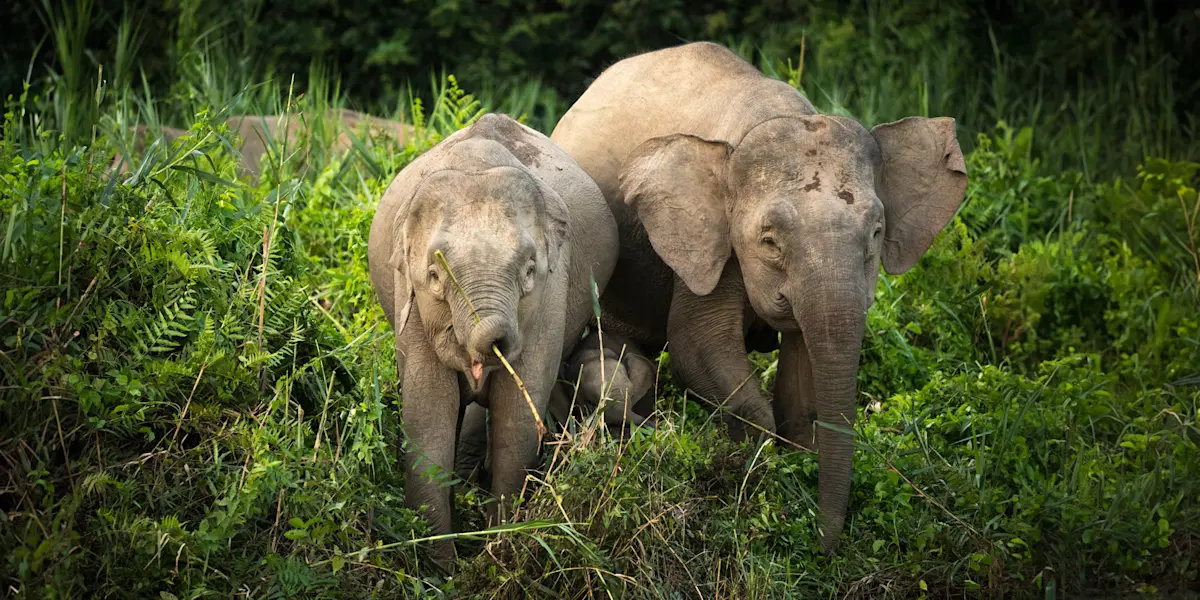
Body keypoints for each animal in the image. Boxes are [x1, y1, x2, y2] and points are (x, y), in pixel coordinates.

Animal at [367, 113, 619, 571]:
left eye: (529, 271)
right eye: (434, 275)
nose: (493, 341)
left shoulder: (551, 295)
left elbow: (517, 416)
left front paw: (497, 556)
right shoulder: (410, 302)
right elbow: (428, 415)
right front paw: (441, 571)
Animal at [549, 41, 969, 554]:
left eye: (876, 232)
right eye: (769, 242)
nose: (825, 546)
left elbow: (805, 370)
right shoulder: (705, 241)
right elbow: (698, 345)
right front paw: (754, 475)